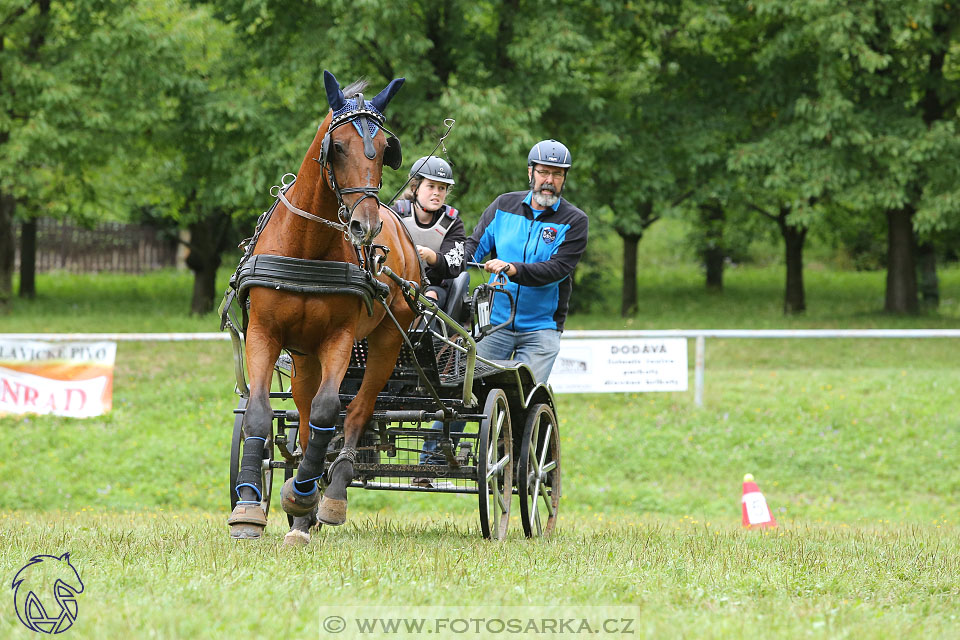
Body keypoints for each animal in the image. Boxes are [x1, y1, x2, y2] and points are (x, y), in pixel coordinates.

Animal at [229, 70, 420, 544]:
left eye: (384, 149)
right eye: (339, 147)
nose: (366, 226)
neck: (307, 248)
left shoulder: (340, 338)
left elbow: (329, 410)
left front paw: (303, 497)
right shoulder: (264, 332)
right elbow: (259, 412)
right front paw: (249, 507)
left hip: (386, 342)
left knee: (358, 411)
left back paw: (327, 494)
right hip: (302, 354)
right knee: (300, 410)